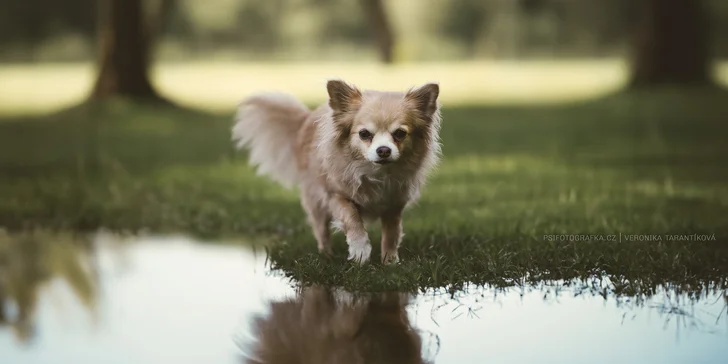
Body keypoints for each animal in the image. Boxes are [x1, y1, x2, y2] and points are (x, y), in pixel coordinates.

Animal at [230, 79, 440, 264]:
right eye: (364, 134)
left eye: (400, 134)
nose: (383, 150)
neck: (375, 174)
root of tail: (307, 119)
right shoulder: (335, 197)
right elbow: (352, 217)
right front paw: (360, 249)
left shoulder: (393, 206)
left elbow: (391, 234)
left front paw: (390, 262)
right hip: (315, 201)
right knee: (322, 230)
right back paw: (326, 256)